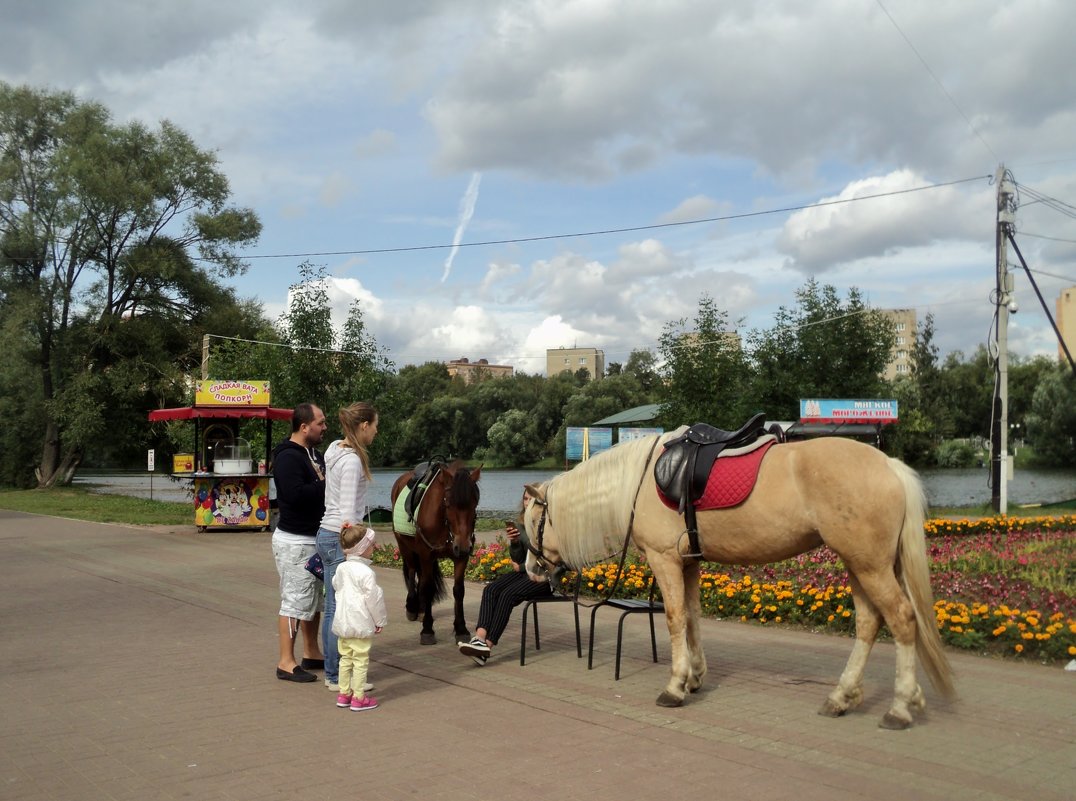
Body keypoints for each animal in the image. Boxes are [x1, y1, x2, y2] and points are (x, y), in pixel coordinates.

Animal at [391, 462, 479, 645]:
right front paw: (427, 630)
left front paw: (461, 628)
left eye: (474, 504)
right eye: (448, 504)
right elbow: (428, 588)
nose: (463, 546)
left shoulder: (461, 558)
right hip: (404, 546)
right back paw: (412, 607)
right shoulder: (426, 555)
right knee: (412, 571)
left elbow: (459, 590)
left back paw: (422, 608)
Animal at [525, 432, 955, 732]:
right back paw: (842, 696)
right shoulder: (688, 563)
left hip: (870, 566)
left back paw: (899, 707)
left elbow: (675, 619)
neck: (641, 482)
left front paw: (675, 686)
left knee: (902, 620)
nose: (530, 568)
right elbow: (693, 617)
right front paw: (695, 677)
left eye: (532, 520)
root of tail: (889, 465)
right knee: (868, 623)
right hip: (860, 564)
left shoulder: (665, 560)